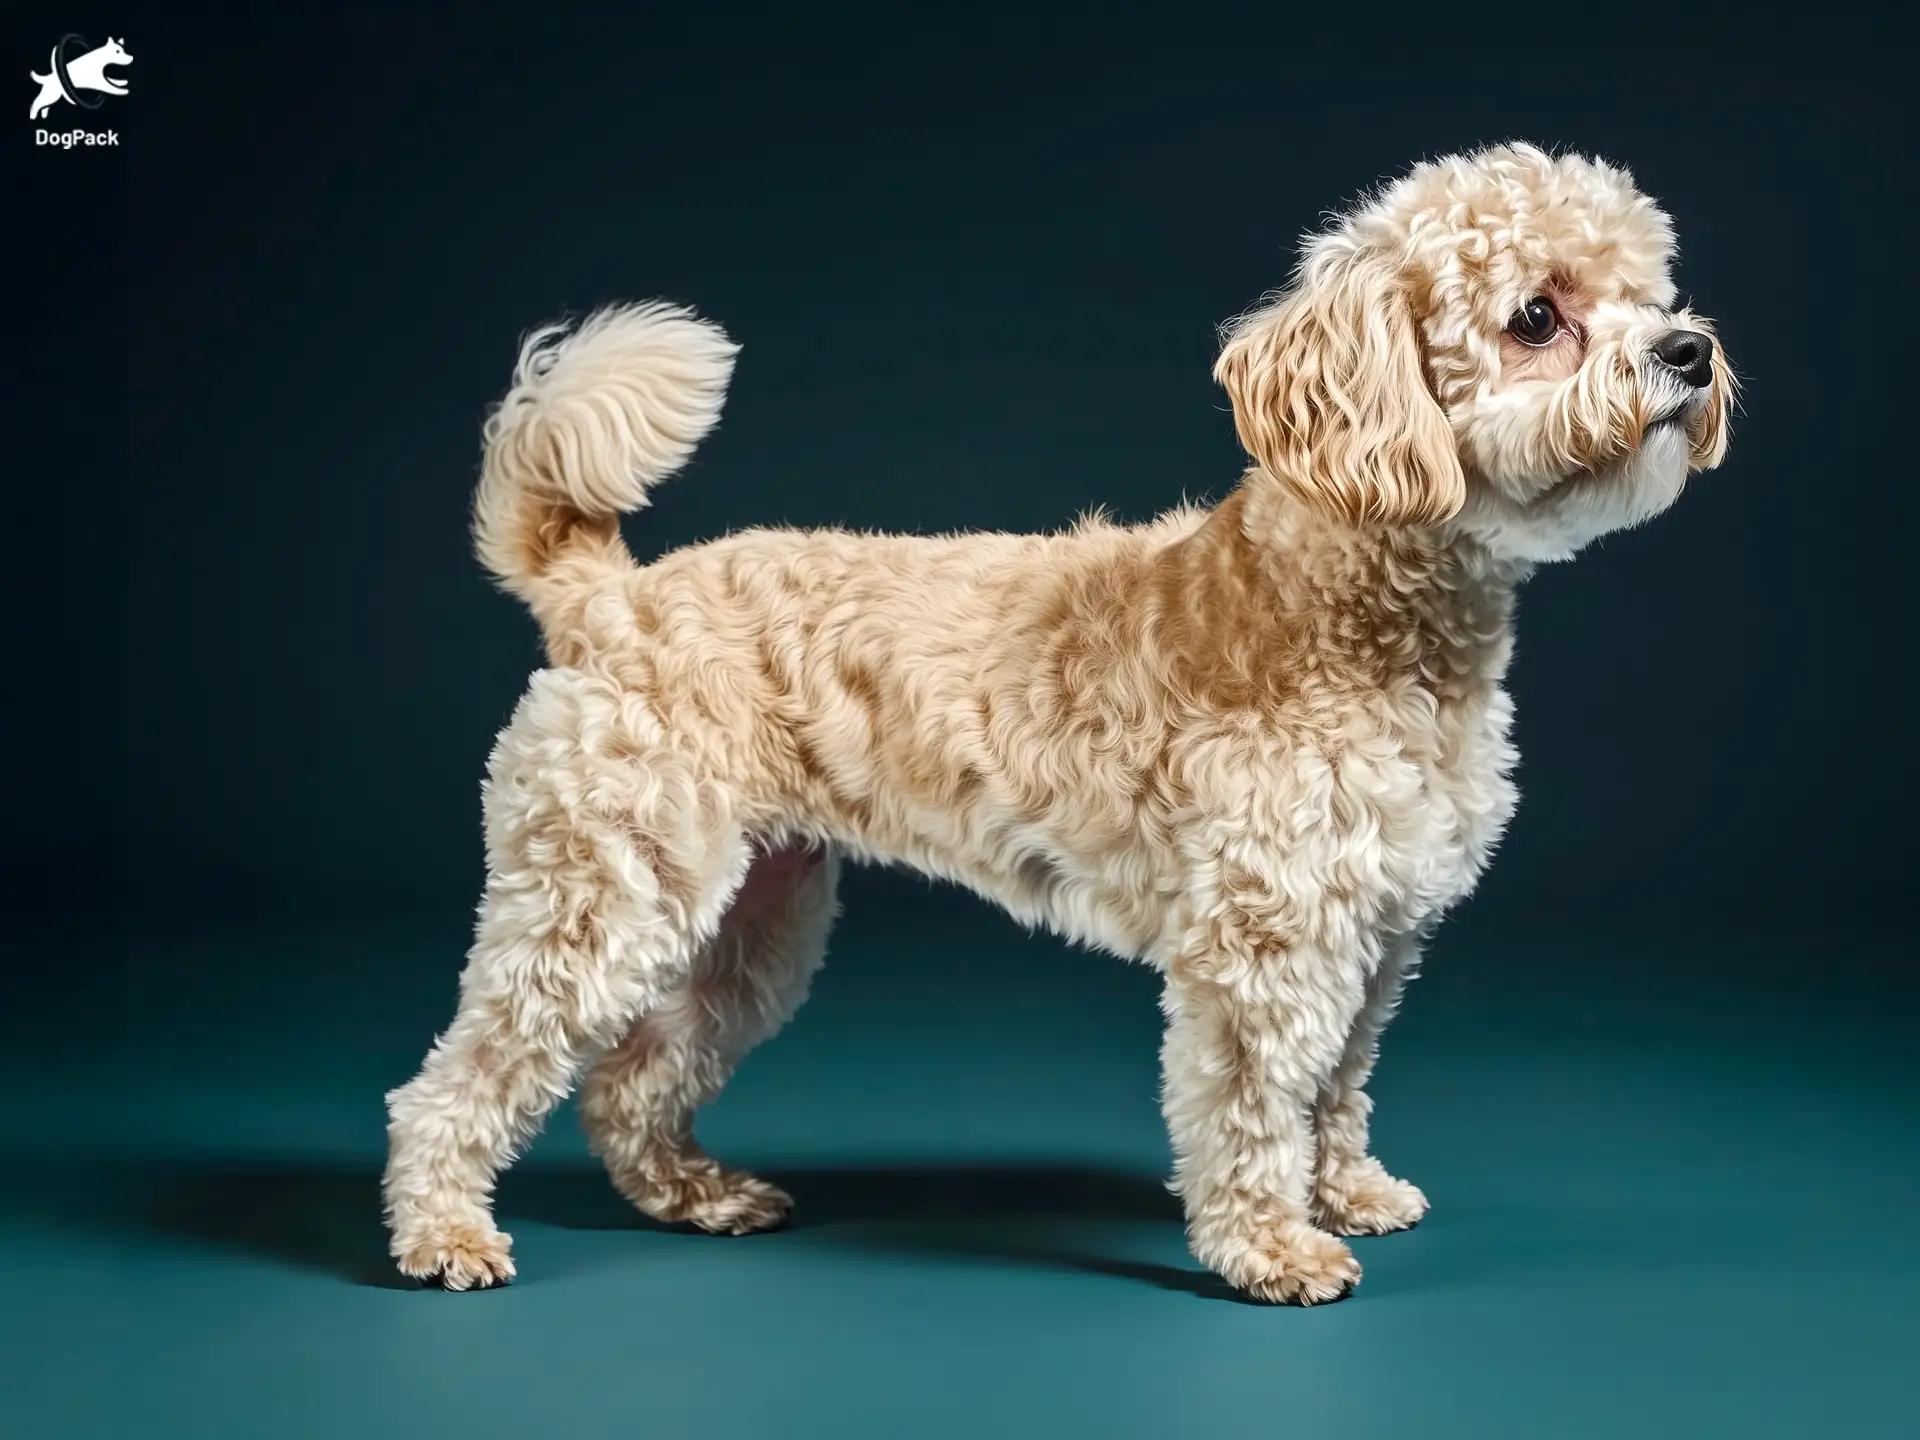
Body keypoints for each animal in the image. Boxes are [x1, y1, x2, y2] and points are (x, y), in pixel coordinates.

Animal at [382, 146, 1735, 1305]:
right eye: (1538, 317)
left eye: (1650, 289)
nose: (1687, 349)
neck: (1340, 601)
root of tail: (610, 595)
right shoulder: (1265, 939)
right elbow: (1258, 1100)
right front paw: (1272, 1245)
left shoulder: (1381, 927)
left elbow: (1340, 1084)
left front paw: (1345, 1193)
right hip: (603, 893)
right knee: (464, 1075)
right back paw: (444, 1229)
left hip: (750, 914)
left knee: (632, 1076)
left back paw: (691, 1193)